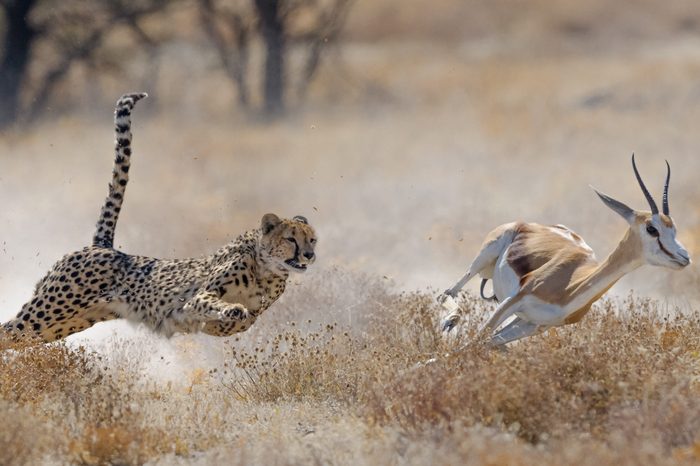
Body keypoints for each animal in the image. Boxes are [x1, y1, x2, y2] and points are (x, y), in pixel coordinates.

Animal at [0, 93, 318, 342]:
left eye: (312, 239)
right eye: (291, 239)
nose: (309, 255)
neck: (266, 270)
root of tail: (102, 246)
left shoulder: (251, 310)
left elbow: (244, 321)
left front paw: (227, 320)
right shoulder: (197, 297)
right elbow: (213, 304)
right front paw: (230, 311)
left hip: (61, 324)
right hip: (48, 311)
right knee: (6, 332)